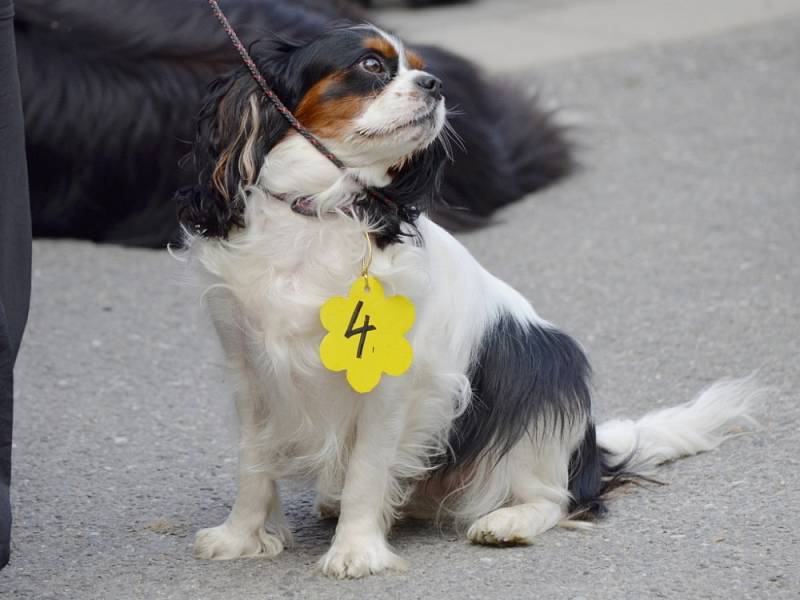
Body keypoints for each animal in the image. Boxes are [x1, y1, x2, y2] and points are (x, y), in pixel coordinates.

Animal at [180, 25, 756, 580]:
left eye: (420, 67)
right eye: (371, 64)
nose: (435, 84)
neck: (321, 212)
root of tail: (590, 454)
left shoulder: (393, 386)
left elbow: (369, 468)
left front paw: (356, 551)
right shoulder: (250, 372)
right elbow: (254, 465)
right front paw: (241, 537)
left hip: (546, 382)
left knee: (560, 500)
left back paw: (507, 522)